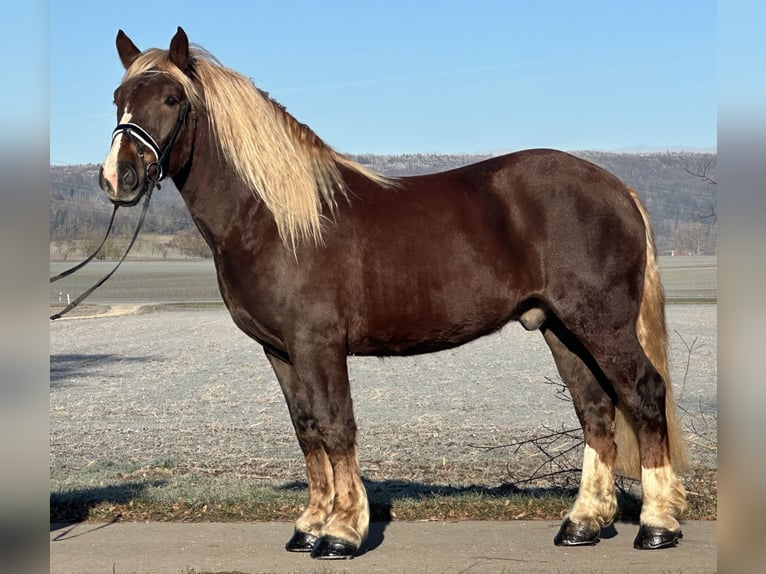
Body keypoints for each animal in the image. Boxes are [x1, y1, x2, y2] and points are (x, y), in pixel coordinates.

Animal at [99, 27, 688, 559]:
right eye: (118, 99)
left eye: (172, 99)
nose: (117, 178)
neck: (276, 219)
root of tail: (618, 188)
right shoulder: (280, 350)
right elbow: (307, 430)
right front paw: (309, 526)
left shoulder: (318, 344)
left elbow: (336, 426)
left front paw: (341, 532)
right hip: (561, 328)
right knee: (596, 410)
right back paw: (583, 523)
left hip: (601, 324)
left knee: (643, 393)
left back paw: (657, 526)